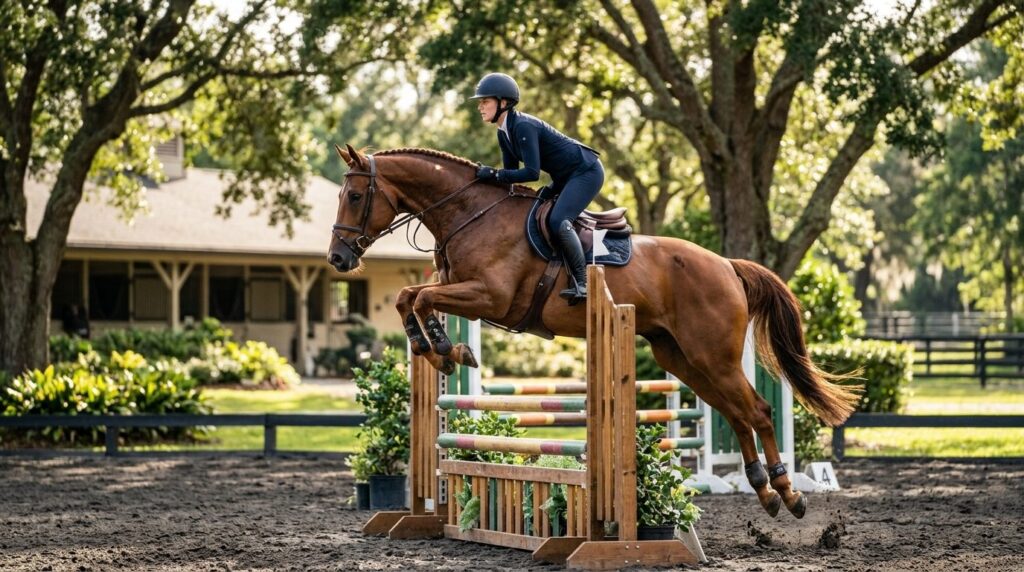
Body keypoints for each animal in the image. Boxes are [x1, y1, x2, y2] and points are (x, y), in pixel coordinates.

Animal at [327, 144, 860, 520]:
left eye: (354, 196)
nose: (338, 258)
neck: (469, 214)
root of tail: (728, 265)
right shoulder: (458, 289)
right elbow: (408, 296)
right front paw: (436, 348)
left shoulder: (487, 296)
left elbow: (418, 299)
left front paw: (444, 348)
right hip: (683, 359)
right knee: (737, 413)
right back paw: (763, 492)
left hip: (713, 356)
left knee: (758, 410)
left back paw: (788, 494)